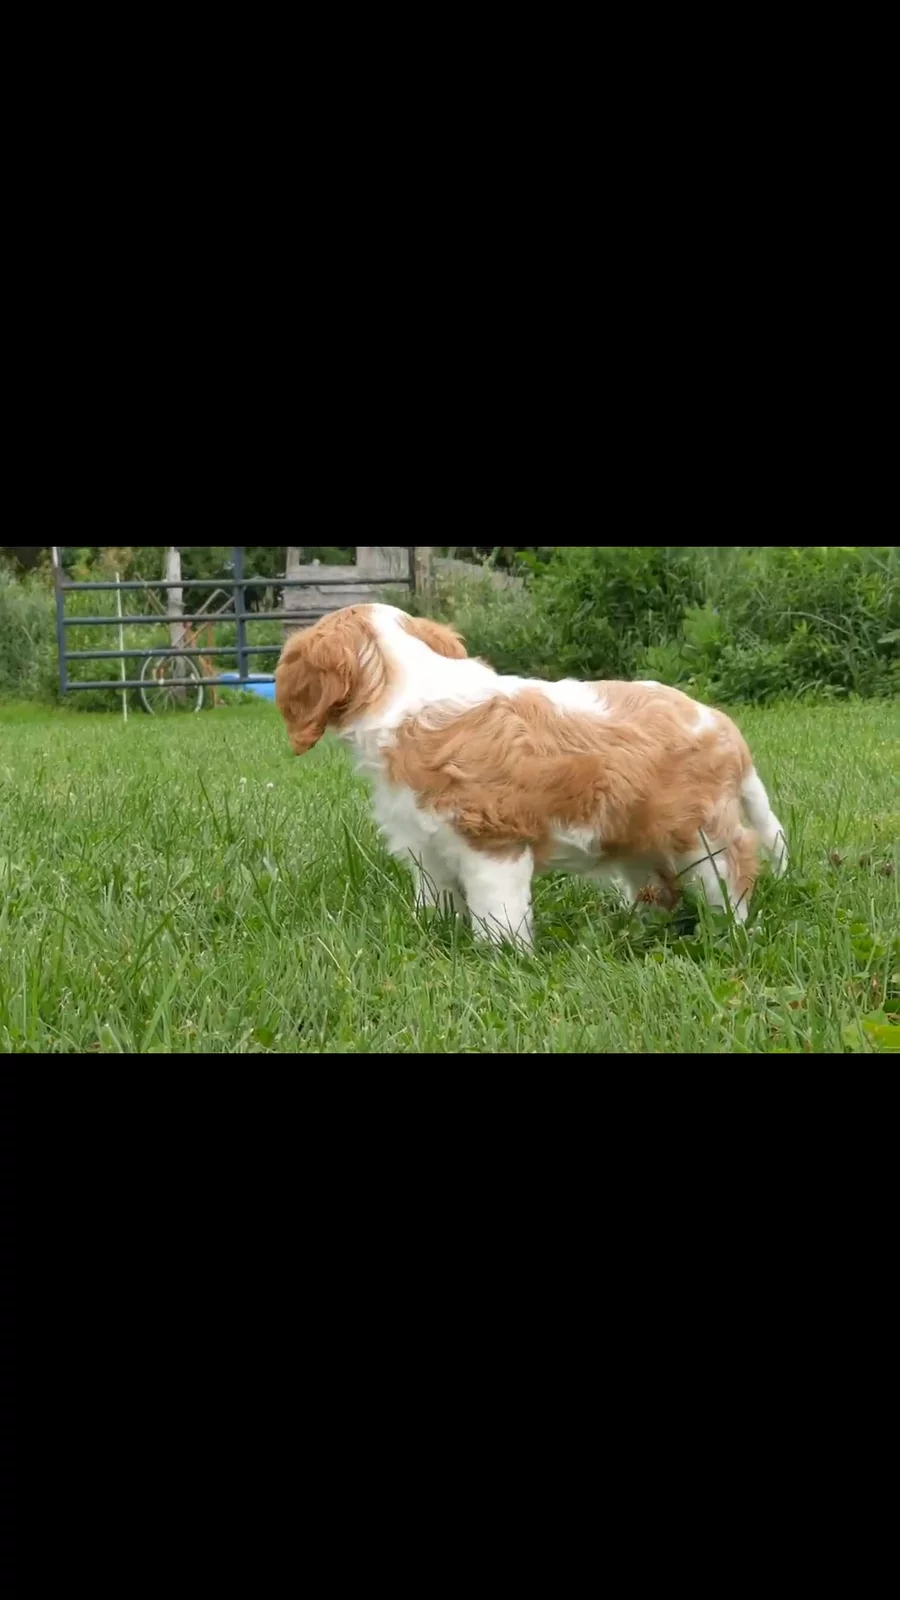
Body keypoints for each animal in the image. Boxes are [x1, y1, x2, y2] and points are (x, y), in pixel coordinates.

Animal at [275, 604, 787, 948]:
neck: (408, 687)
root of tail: (723, 726)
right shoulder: (425, 846)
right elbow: (435, 897)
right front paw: (429, 934)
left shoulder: (492, 841)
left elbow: (497, 910)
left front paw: (499, 957)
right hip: (641, 838)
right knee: (659, 887)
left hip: (700, 836)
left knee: (733, 870)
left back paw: (732, 930)